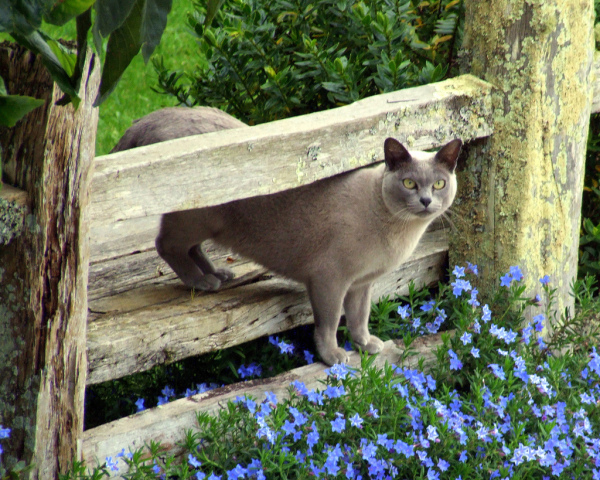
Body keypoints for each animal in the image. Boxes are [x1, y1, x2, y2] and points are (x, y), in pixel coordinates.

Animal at [157, 138, 462, 364]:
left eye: (439, 184)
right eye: (409, 183)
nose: (426, 201)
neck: (399, 230)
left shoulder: (361, 284)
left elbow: (359, 316)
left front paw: (365, 344)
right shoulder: (330, 279)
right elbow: (329, 322)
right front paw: (333, 357)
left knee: (191, 248)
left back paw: (218, 274)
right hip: (196, 220)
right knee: (166, 245)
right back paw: (202, 280)